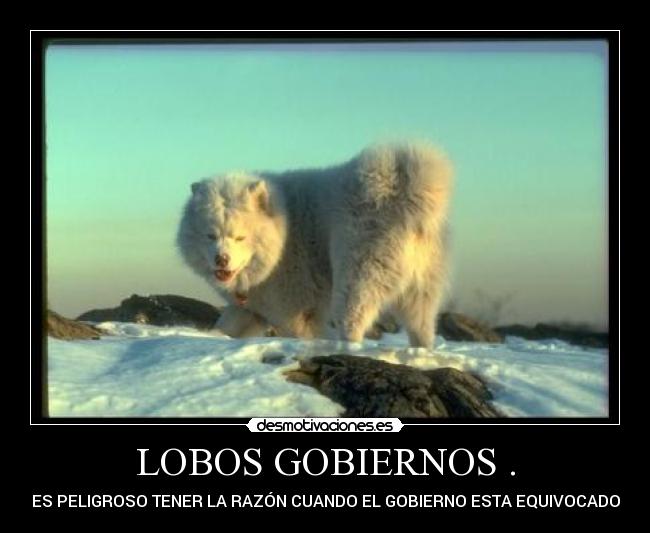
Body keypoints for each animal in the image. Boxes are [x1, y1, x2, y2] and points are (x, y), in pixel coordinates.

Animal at [176, 142, 453, 348]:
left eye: (239, 237)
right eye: (210, 236)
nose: (221, 259)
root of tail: (404, 190)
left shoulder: (294, 312)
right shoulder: (250, 309)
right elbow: (226, 326)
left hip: (356, 278)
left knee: (352, 323)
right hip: (420, 291)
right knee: (422, 329)